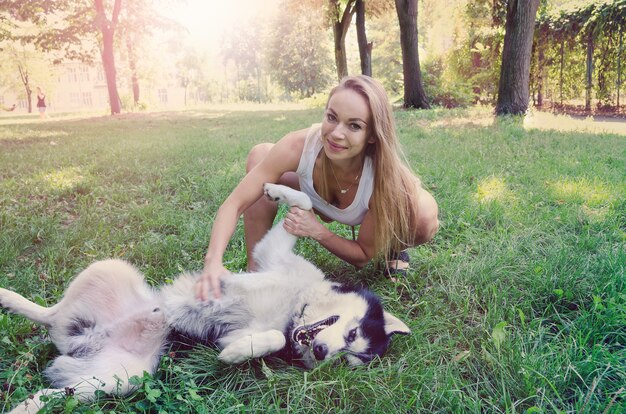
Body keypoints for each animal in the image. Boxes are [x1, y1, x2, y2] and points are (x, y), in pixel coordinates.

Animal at [0, 185, 410, 414]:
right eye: (353, 334)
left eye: (347, 360)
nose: (323, 352)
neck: (296, 306)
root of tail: (85, 340)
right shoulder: (271, 254)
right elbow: (307, 202)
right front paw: (276, 189)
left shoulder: (251, 331)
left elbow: (271, 337)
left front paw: (235, 354)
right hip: (111, 268)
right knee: (50, 313)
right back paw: (9, 299)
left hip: (120, 379)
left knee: (54, 390)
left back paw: (22, 405)